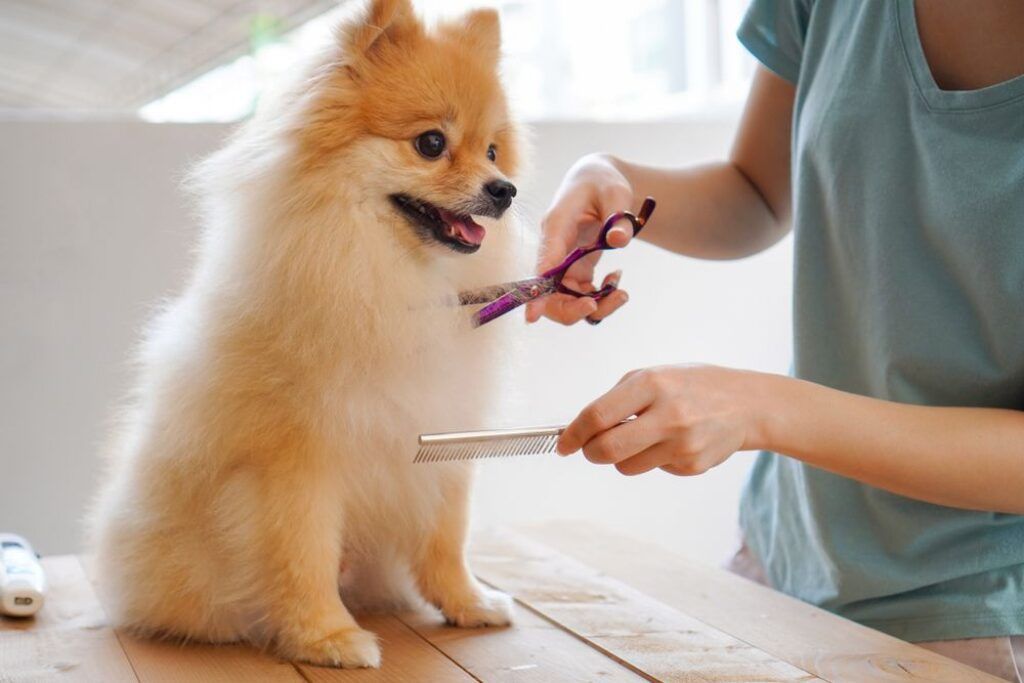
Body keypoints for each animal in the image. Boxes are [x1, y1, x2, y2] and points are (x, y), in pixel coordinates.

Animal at [87, 0, 524, 671]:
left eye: (495, 152)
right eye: (431, 143)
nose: (504, 191)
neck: (385, 279)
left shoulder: (441, 437)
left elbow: (446, 538)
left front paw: (467, 602)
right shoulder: (298, 462)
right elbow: (303, 556)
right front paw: (326, 637)